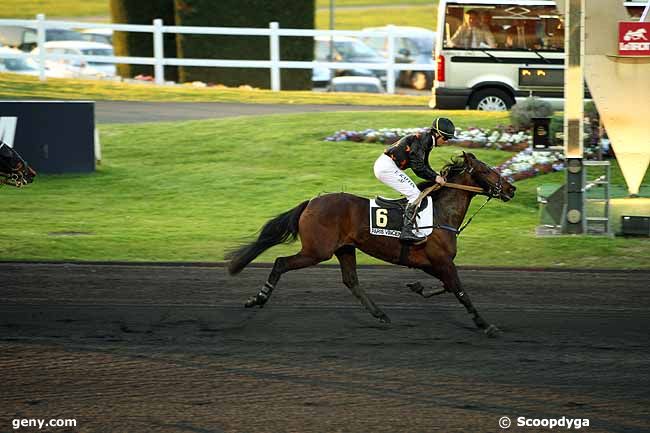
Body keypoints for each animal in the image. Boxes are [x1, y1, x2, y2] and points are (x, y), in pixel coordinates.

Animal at [225, 151, 512, 334]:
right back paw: (258, 298)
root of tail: (311, 202)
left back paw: (381, 314)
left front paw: (417, 287)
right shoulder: (441, 261)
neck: (440, 214)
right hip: (317, 251)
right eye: (486, 170)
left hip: (344, 249)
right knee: (280, 263)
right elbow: (460, 291)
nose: (511, 189)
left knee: (351, 281)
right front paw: (486, 325)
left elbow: (447, 286)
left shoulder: (430, 263)